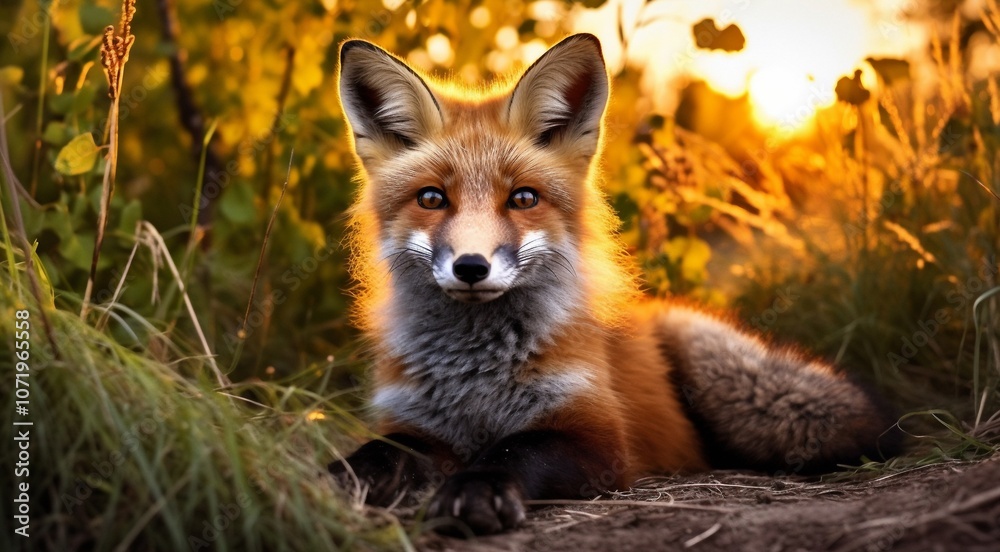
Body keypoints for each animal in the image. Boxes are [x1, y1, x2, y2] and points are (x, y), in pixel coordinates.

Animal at [328, 33, 901, 535]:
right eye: (431, 199)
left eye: (523, 198)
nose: (472, 266)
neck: (475, 380)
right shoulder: (413, 424)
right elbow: (374, 453)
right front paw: (331, 484)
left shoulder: (598, 437)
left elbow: (513, 450)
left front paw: (476, 489)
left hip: (749, 390)